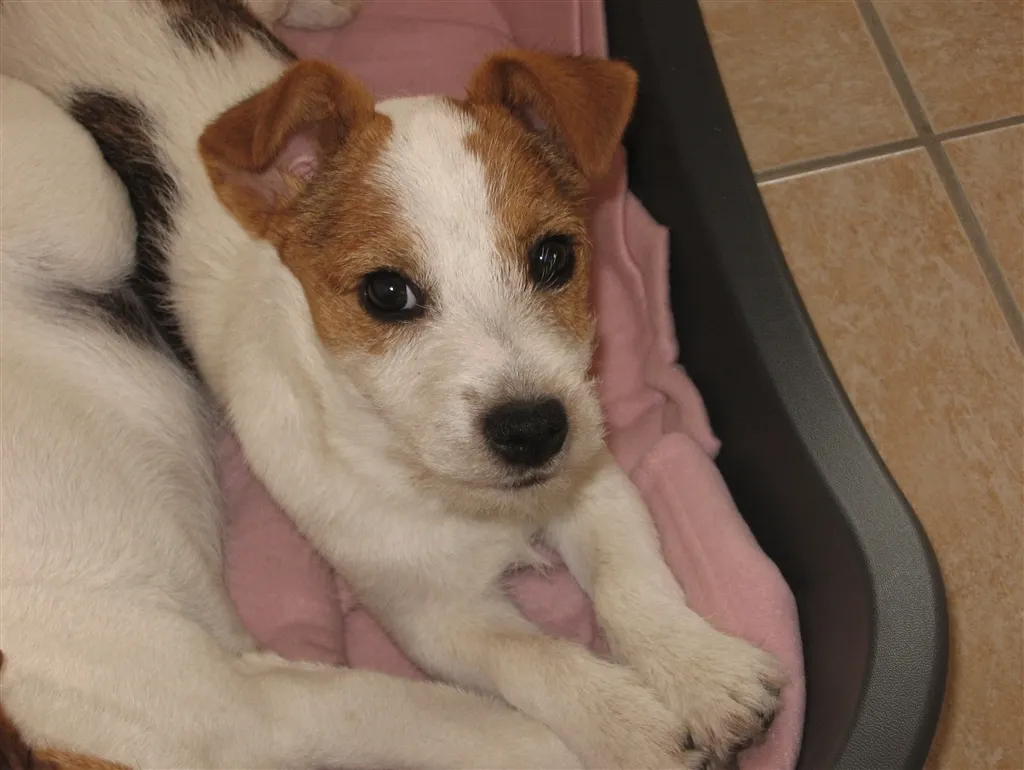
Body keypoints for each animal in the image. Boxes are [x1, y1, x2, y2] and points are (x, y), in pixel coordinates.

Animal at [0, 1, 784, 767]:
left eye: (554, 256)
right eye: (386, 292)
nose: (533, 430)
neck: (431, 479)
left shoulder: (592, 478)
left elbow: (632, 577)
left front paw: (703, 675)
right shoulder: (433, 616)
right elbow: (534, 659)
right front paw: (630, 727)